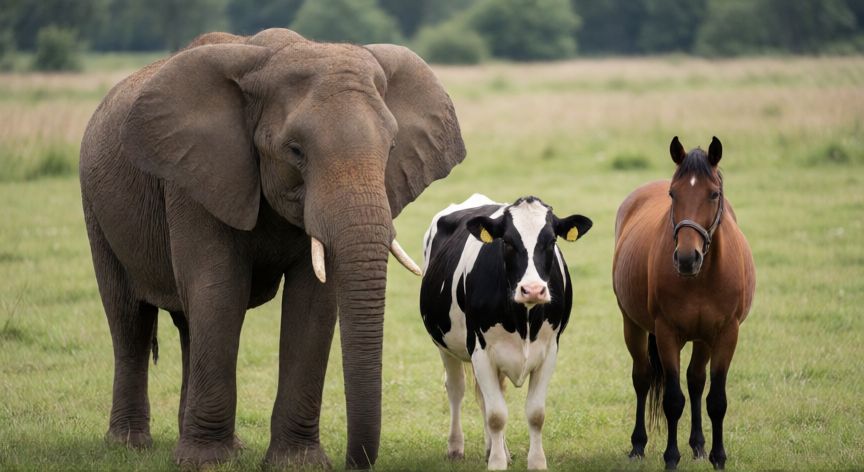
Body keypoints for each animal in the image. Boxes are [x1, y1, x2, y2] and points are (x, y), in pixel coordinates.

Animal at [79, 28, 465, 468]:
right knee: (130, 320)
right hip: (96, 208)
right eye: (294, 151)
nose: (354, 461)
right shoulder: (193, 179)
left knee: (188, 326)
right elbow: (219, 291)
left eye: (392, 146)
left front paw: (296, 463)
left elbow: (313, 304)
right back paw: (130, 444)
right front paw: (206, 463)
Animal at [419, 193, 593, 470]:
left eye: (552, 241)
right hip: (444, 343)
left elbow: (535, 413)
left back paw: (493, 448)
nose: (533, 290)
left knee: (486, 395)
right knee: (456, 389)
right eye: (508, 242)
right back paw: (456, 447)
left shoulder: (550, 351)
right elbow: (497, 415)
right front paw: (497, 463)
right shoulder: (480, 350)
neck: (524, 321)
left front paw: (535, 462)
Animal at [612, 136, 755, 470]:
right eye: (673, 194)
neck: (700, 278)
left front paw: (717, 457)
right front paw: (671, 457)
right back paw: (638, 445)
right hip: (632, 325)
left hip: (702, 339)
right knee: (642, 377)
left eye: (713, 193)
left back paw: (699, 445)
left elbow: (716, 399)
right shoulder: (666, 333)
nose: (688, 258)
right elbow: (673, 400)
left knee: (696, 380)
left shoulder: (726, 334)